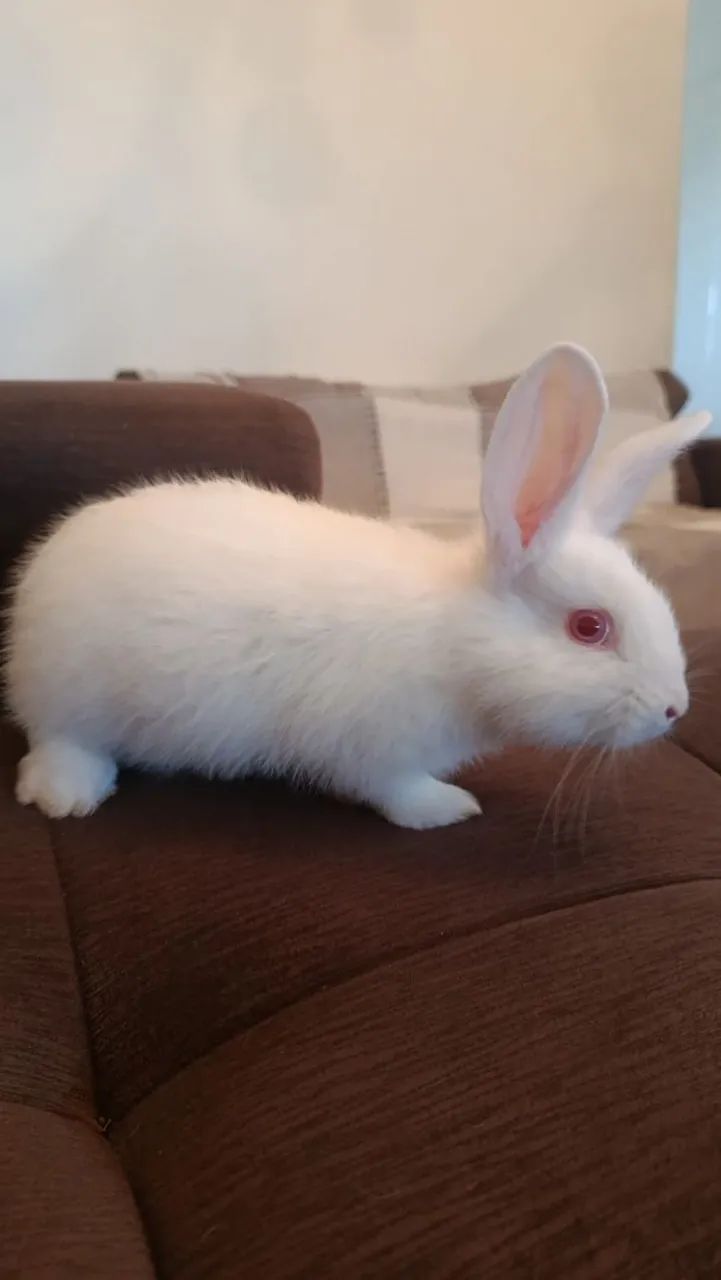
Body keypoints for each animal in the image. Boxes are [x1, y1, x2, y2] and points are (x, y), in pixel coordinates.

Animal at [4, 344, 711, 828]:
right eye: (589, 627)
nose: (674, 710)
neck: (456, 641)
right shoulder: (373, 749)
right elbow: (395, 792)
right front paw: (450, 808)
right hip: (70, 693)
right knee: (57, 741)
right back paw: (68, 797)